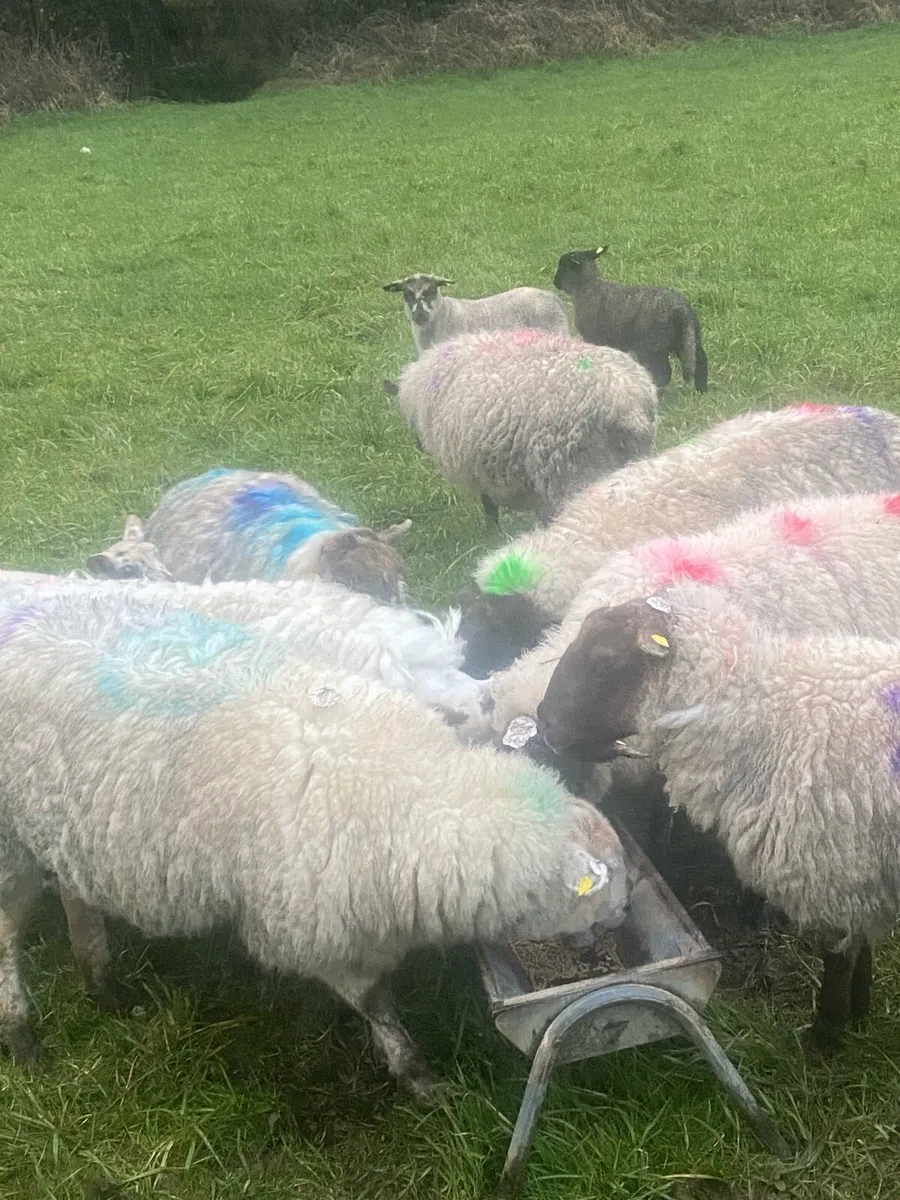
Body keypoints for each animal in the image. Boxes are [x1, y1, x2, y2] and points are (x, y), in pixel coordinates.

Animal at [535, 582, 900, 1050]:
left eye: (605, 659)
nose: (544, 725)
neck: (761, 712)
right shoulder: (863, 874)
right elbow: (865, 943)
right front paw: (859, 1010)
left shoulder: (834, 872)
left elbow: (839, 958)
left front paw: (825, 1039)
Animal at [553, 247, 708, 392]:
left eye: (563, 266)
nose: (555, 282)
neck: (588, 288)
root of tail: (681, 308)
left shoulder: (593, 337)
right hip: (689, 338)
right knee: (701, 360)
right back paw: (702, 389)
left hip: (652, 346)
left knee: (664, 372)